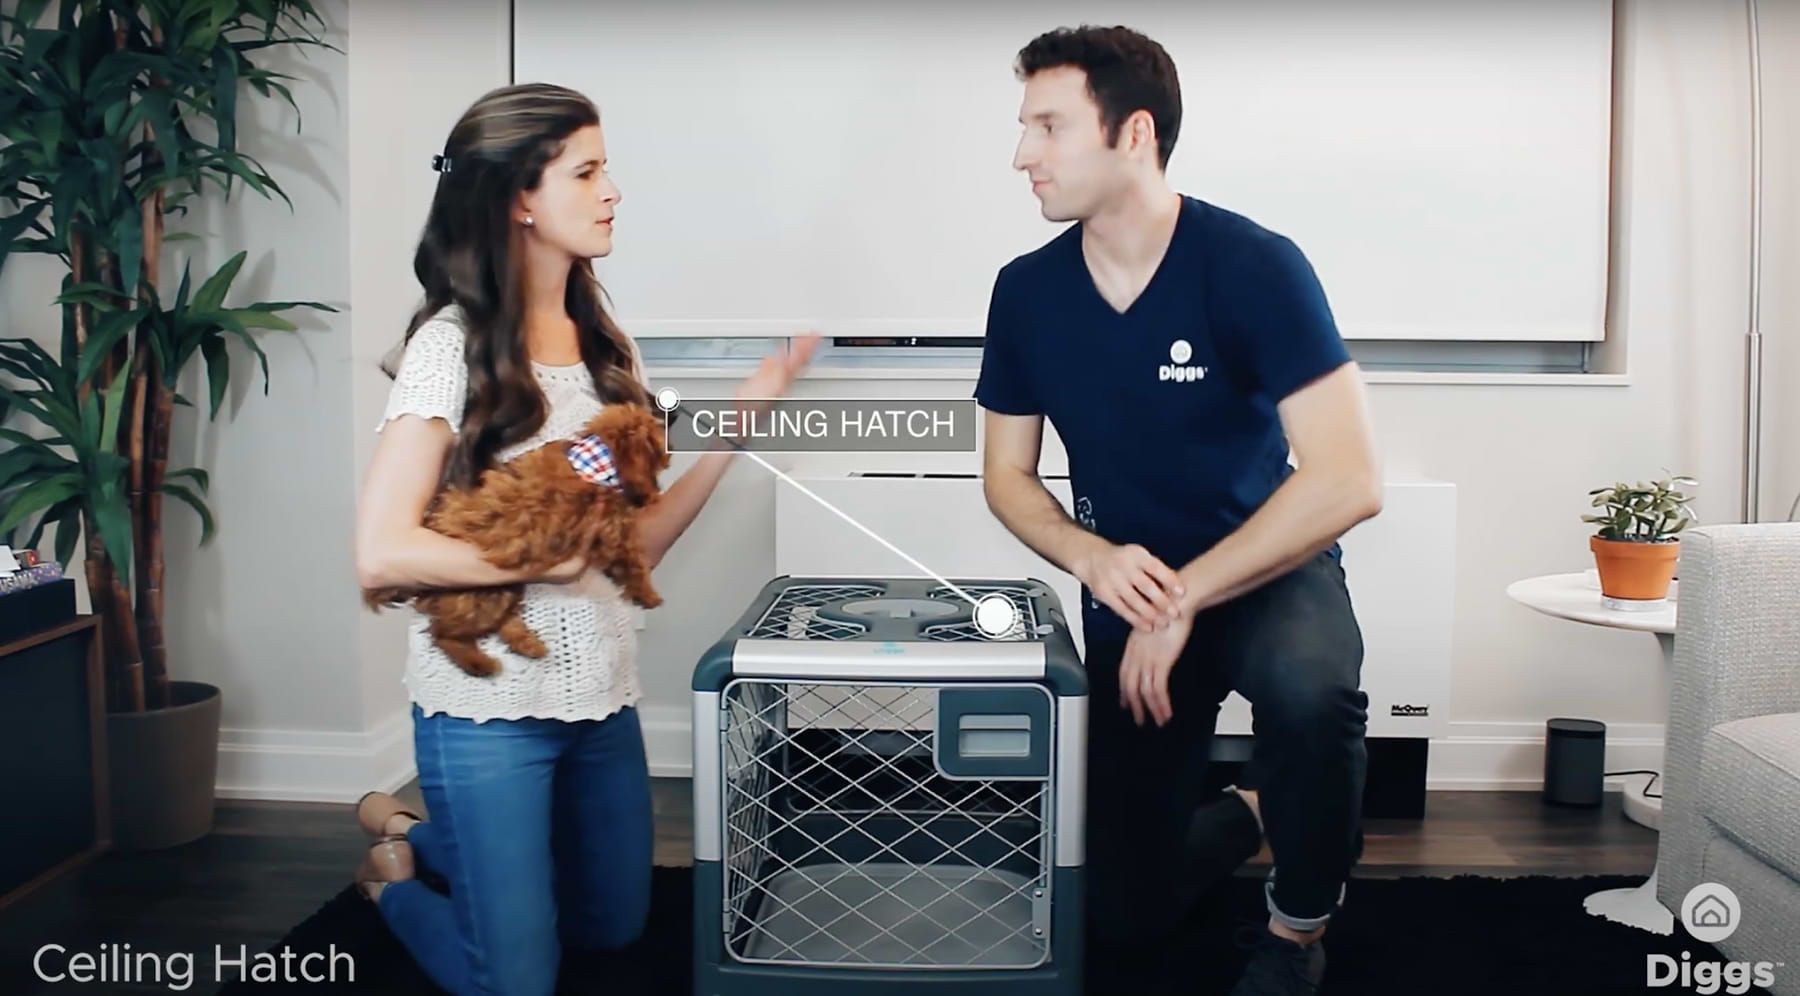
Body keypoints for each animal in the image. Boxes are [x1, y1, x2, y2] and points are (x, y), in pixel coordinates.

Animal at [361, 401, 673, 677]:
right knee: (443, 633)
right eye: (657, 458)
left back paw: (528, 645)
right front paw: (649, 595)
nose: (654, 496)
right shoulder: (614, 533)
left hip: (502, 589)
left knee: (501, 624)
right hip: (481, 596)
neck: (596, 463)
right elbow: (634, 565)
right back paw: (480, 664)